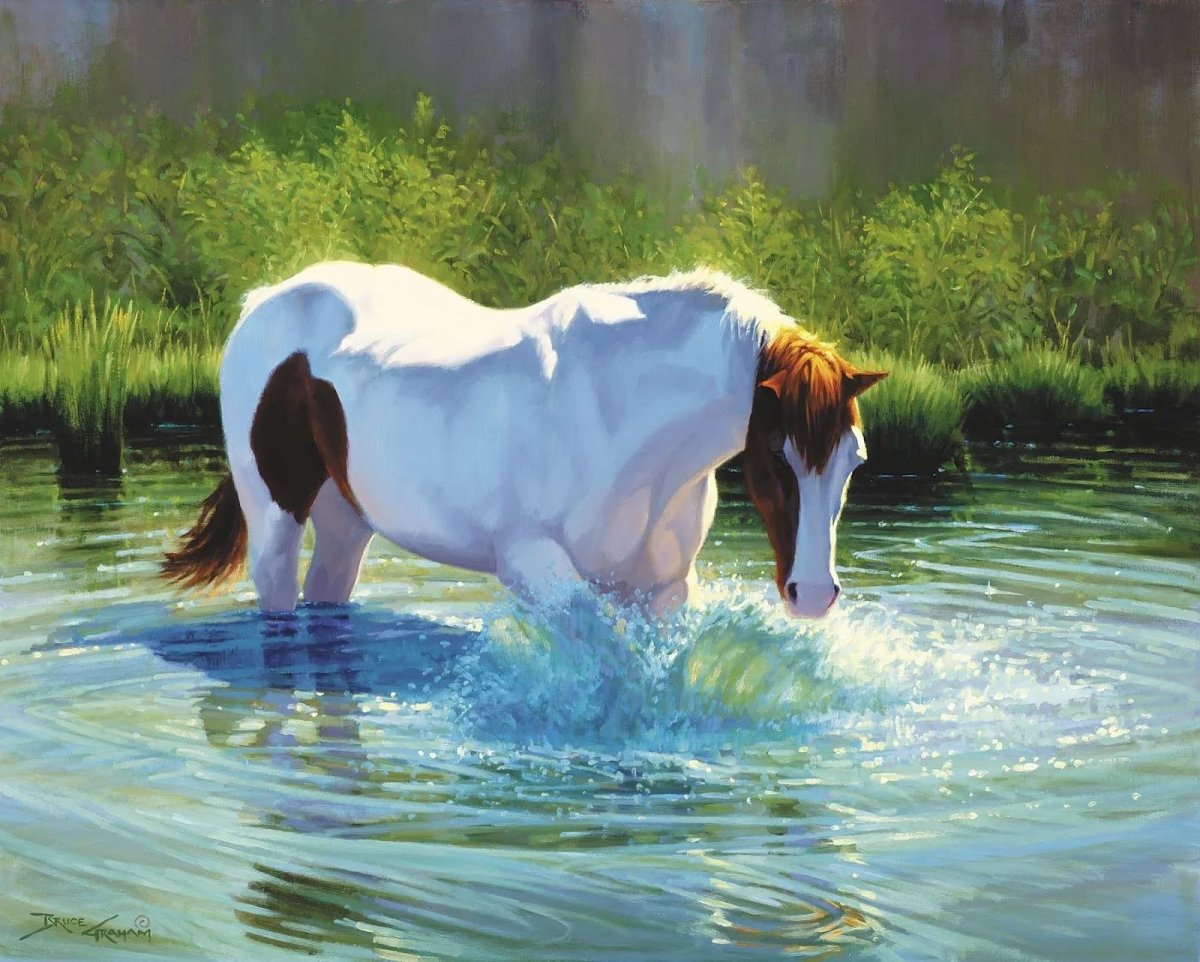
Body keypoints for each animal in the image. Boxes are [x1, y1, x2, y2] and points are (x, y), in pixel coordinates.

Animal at [162, 262, 886, 618]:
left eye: (853, 460)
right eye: (776, 459)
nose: (813, 595)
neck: (623, 417)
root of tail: (268, 297)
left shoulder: (660, 590)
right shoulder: (534, 567)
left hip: (347, 521)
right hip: (275, 521)